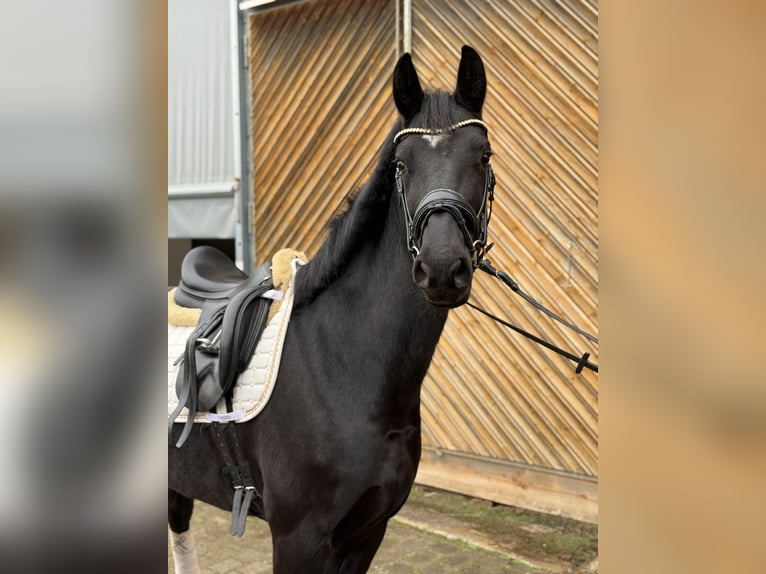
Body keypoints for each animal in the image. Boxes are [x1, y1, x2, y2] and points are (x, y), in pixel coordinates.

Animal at [169, 45, 495, 573]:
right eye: (401, 165)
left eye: (482, 156)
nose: (443, 268)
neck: (345, 367)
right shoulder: (297, 539)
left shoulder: (366, 534)